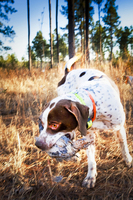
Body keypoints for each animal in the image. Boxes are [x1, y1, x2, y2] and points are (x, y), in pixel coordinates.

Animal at [35, 57, 132, 188]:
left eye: (54, 124)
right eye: (41, 123)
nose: (38, 144)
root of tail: (69, 72)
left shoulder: (119, 127)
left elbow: (123, 145)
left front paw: (128, 160)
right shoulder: (88, 135)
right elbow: (90, 159)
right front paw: (90, 177)